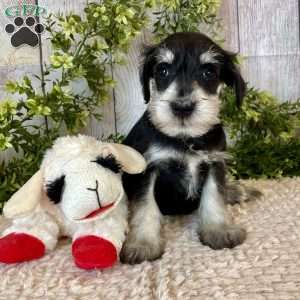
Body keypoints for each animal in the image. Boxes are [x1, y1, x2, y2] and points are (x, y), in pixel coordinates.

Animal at [120, 31, 247, 264]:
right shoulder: (148, 170)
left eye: (208, 72)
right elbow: (145, 207)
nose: (182, 107)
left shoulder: (215, 163)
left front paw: (219, 230)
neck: (185, 137)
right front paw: (143, 244)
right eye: (163, 70)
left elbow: (214, 195)